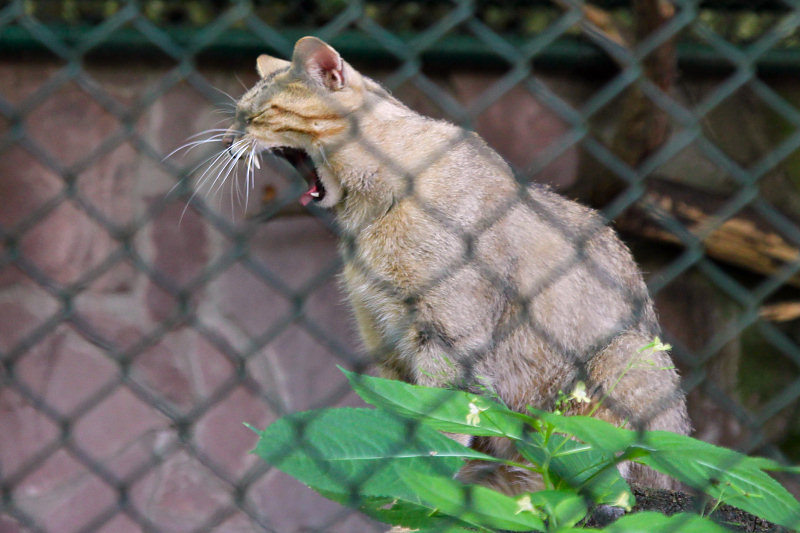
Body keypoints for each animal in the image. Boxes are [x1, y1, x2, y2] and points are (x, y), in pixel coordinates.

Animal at [222, 35, 692, 492]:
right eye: (239, 113)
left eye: (257, 114)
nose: (228, 139)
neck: (367, 216)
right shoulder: (386, 344)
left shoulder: (447, 340)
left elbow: (441, 424)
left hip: (621, 364)